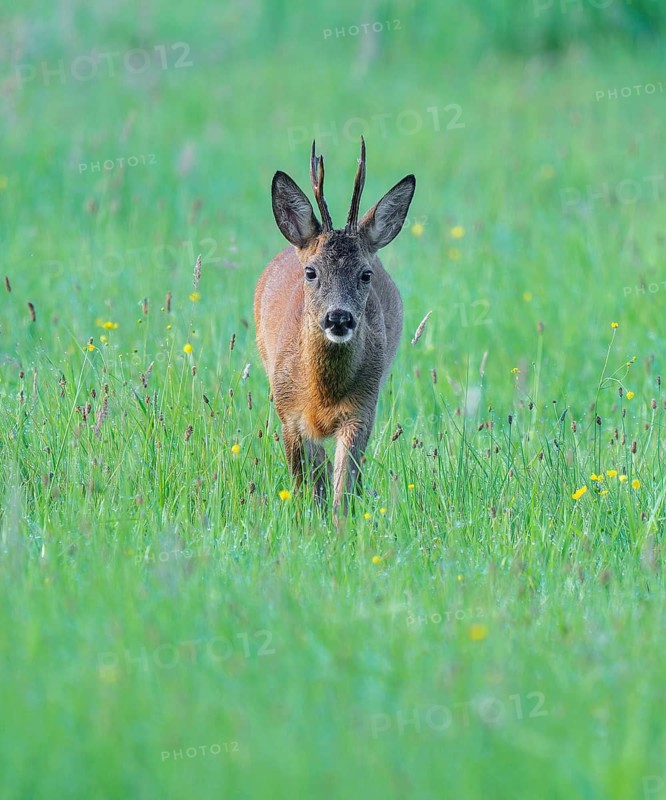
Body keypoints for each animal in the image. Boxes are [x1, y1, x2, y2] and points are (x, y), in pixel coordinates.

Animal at [254, 137, 415, 517]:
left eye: (365, 274)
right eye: (311, 272)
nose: (338, 317)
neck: (322, 392)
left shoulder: (362, 410)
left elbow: (345, 488)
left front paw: (341, 524)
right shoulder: (290, 415)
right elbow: (306, 486)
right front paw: (309, 521)